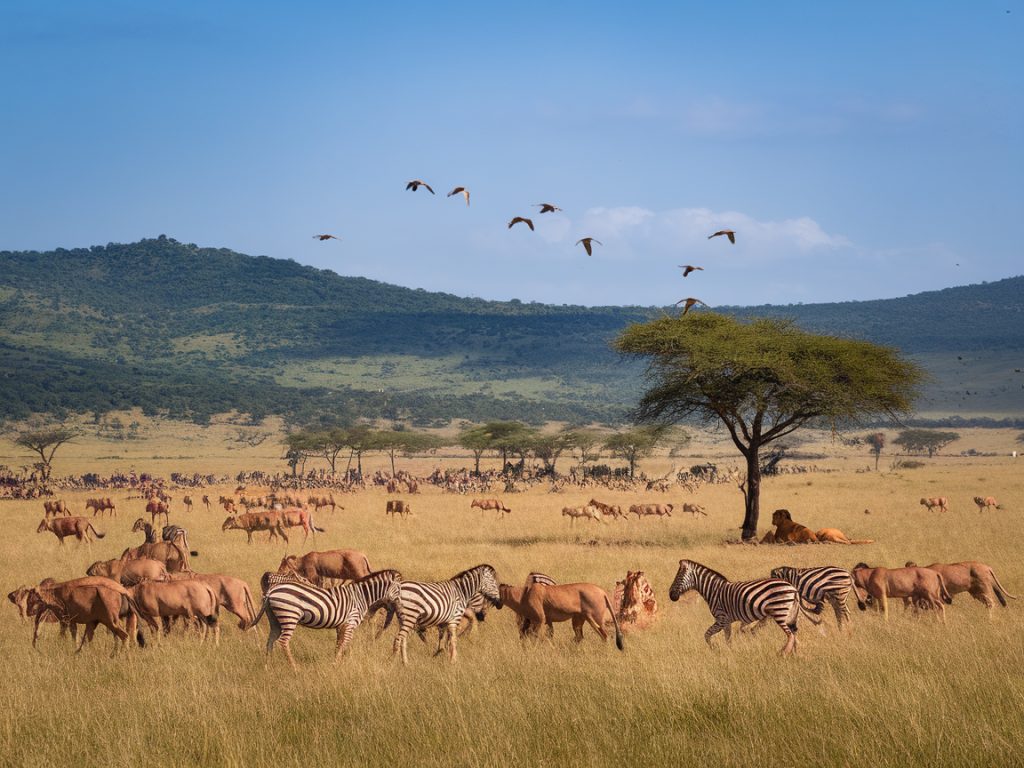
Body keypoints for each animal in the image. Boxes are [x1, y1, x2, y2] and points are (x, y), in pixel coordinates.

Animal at [249, 569, 401, 671]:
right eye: (399, 588)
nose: (401, 604)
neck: (361, 596)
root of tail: (271, 591)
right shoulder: (351, 621)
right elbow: (344, 644)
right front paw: (337, 665)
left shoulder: (342, 625)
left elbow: (339, 645)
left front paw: (339, 662)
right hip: (289, 615)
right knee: (283, 641)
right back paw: (295, 669)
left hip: (275, 620)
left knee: (270, 642)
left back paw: (267, 667)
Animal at [667, 561, 802, 655]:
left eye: (678, 577)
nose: (671, 595)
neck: (713, 591)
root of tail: (793, 588)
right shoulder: (727, 621)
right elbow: (727, 638)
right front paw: (729, 651)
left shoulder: (721, 618)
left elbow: (707, 635)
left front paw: (715, 649)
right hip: (790, 615)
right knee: (794, 635)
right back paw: (794, 655)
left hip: (779, 611)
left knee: (790, 635)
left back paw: (783, 653)